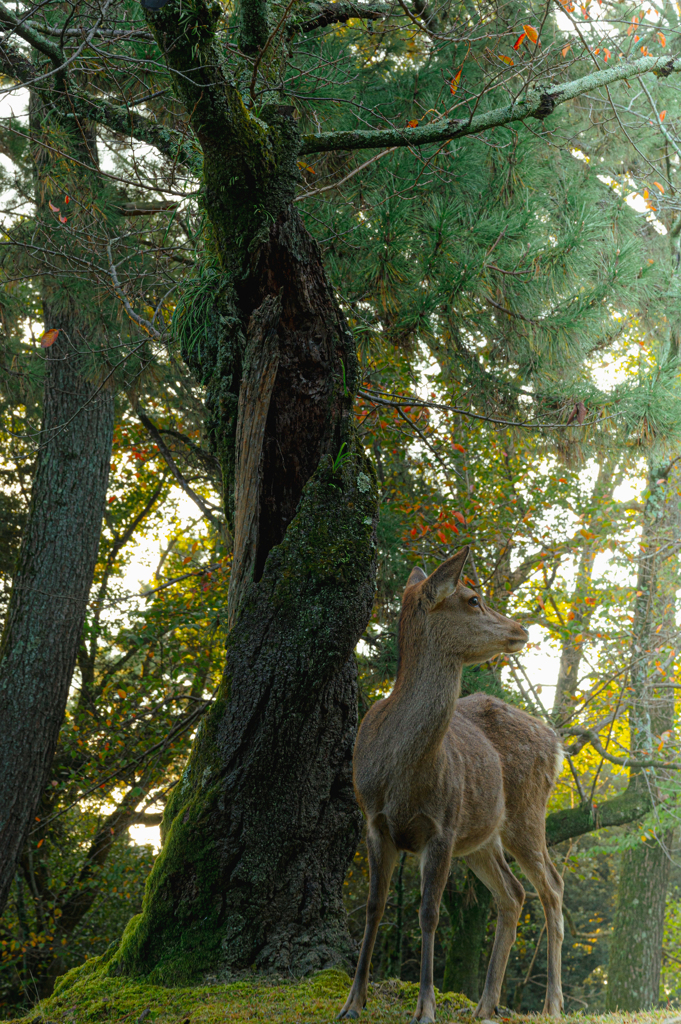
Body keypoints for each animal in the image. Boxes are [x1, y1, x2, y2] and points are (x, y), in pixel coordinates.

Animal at [339, 548, 561, 1019]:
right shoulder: (374, 820)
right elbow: (373, 907)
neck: (402, 772)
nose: (521, 629)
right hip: (480, 838)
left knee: (551, 886)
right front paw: (353, 1002)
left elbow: (429, 913)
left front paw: (425, 1007)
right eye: (473, 599)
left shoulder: (442, 825)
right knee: (513, 894)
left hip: (526, 814)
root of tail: (556, 742)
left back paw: (553, 1003)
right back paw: (485, 1006)